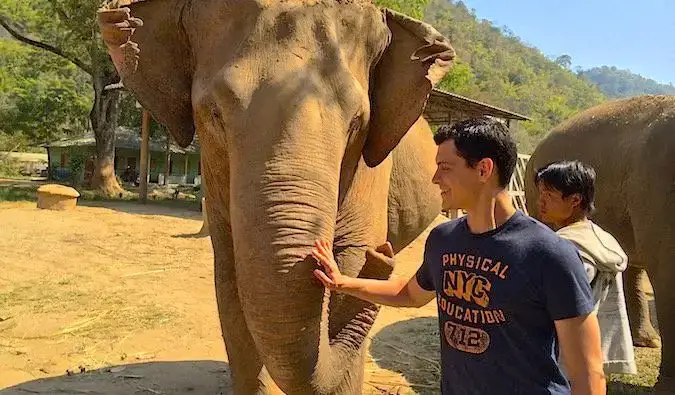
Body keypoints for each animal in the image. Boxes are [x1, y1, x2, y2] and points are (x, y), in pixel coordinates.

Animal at [97, 1, 454, 394]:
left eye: (357, 123)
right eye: (214, 114)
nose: (383, 252)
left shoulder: (370, 171)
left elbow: (351, 263)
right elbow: (230, 280)